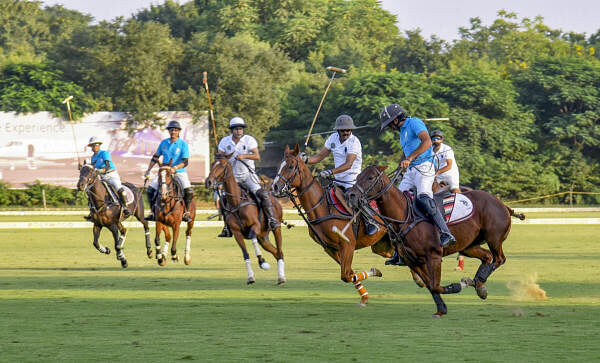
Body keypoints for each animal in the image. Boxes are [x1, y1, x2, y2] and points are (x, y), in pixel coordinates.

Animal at [205, 152, 288, 286]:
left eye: (222, 165)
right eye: (212, 164)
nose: (208, 181)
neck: (237, 201)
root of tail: (276, 201)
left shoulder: (254, 226)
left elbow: (253, 239)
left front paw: (262, 261)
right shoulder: (237, 232)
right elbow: (245, 254)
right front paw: (250, 277)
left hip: (276, 228)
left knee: (279, 251)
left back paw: (281, 278)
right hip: (263, 238)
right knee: (276, 252)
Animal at [270, 145, 394, 308]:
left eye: (290, 166)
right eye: (279, 165)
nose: (275, 187)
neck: (322, 206)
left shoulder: (348, 244)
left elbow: (346, 274)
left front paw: (375, 272)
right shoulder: (330, 248)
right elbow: (348, 274)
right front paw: (365, 296)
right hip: (382, 247)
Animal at [346, 164, 524, 318]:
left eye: (370, 177)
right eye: (358, 176)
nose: (351, 195)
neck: (405, 216)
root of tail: (504, 206)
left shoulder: (434, 256)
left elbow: (435, 285)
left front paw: (459, 285)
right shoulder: (413, 261)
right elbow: (430, 286)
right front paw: (442, 309)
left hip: (494, 238)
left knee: (499, 259)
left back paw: (477, 282)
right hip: (468, 246)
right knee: (487, 256)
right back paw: (479, 285)